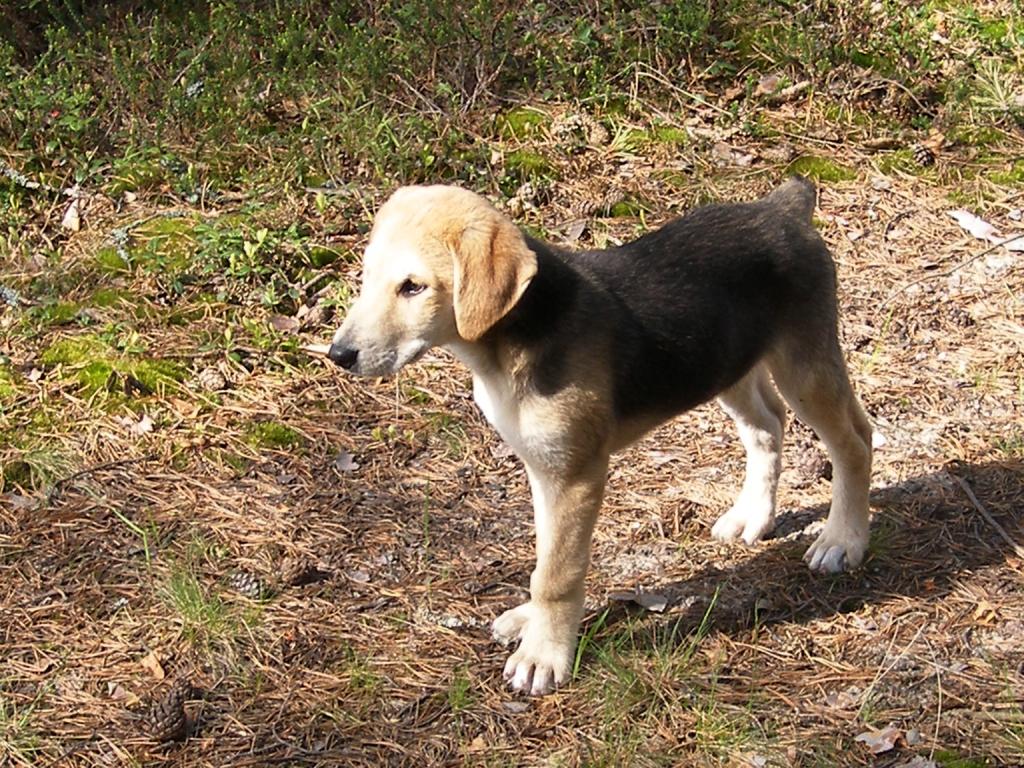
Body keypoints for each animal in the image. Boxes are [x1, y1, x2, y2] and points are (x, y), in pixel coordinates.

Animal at [327, 179, 872, 696]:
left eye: (413, 287)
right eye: (368, 276)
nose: (339, 355)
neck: (510, 341)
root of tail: (781, 207)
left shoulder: (574, 474)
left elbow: (558, 572)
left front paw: (543, 655)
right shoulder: (543, 467)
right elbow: (544, 559)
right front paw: (532, 622)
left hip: (804, 366)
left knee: (856, 440)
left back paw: (842, 539)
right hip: (727, 366)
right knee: (768, 424)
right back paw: (753, 515)